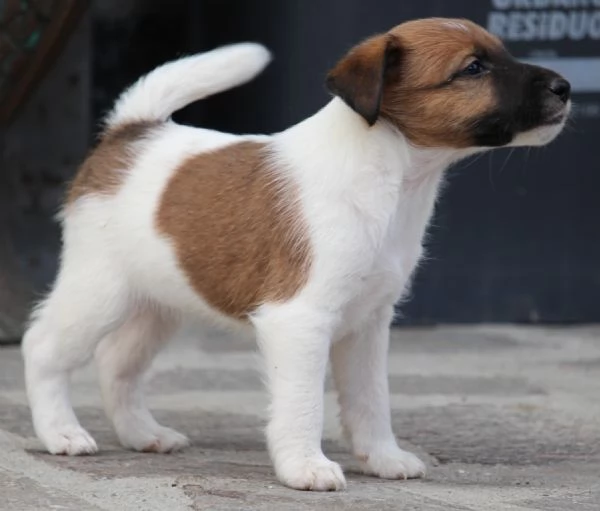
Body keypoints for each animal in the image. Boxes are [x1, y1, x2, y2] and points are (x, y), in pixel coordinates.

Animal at [21, 17, 568, 492]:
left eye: (501, 54)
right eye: (473, 68)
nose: (564, 87)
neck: (389, 174)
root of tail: (132, 132)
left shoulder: (370, 324)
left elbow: (372, 399)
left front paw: (382, 457)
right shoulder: (301, 320)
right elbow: (304, 404)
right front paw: (306, 466)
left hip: (160, 303)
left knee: (118, 363)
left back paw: (143, 433)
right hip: (99, 292)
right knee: (42, 347)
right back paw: (61, 433)